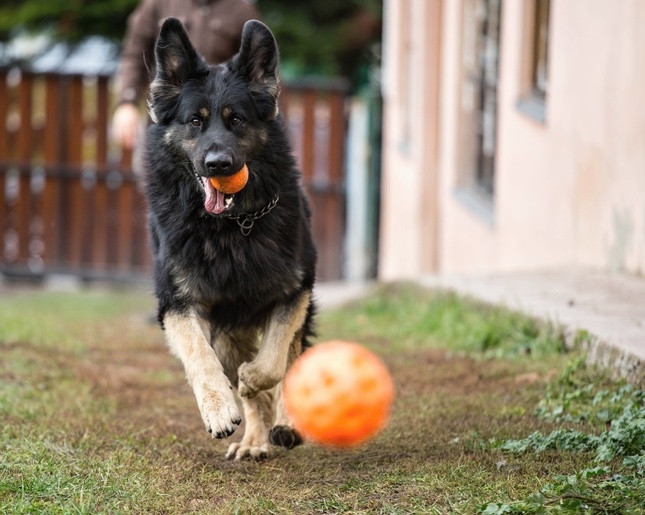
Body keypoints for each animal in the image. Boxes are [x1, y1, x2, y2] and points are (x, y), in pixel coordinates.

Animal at [145, 18, 316, 462]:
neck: (230, 227)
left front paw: (252, 380)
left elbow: (274, 362)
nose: (218, 164)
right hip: (227, 332)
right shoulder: (177, 303)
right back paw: (254, 439)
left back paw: (283, 423)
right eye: (195, 121)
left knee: (292, 359)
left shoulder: (294, 292)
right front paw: (220, 408)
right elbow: (198, 355)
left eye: (236, 119)